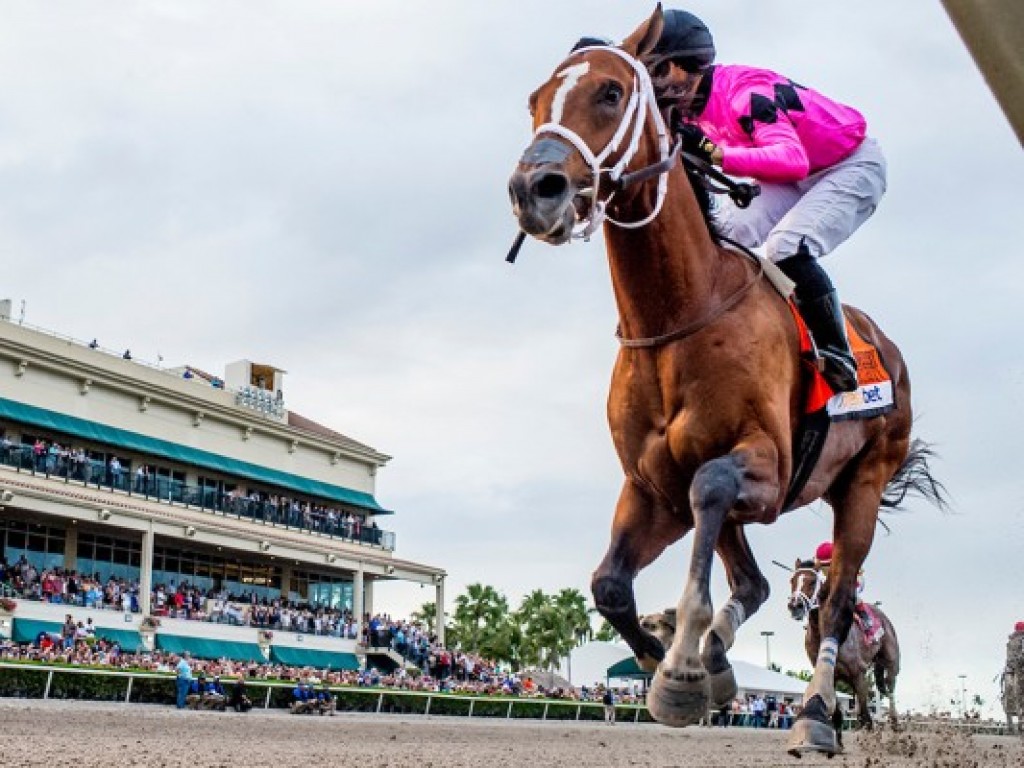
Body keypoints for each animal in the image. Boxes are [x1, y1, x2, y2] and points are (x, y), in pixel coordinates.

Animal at [786, 561, 901, 749]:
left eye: (812, 581)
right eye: (792, 580)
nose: (795, 606)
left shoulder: (858, 673)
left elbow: (866, 714)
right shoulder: (832, 676)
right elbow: (838, 712)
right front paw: (838, 744)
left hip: (891, 663)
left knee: (890, 690)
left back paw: (895, 724)